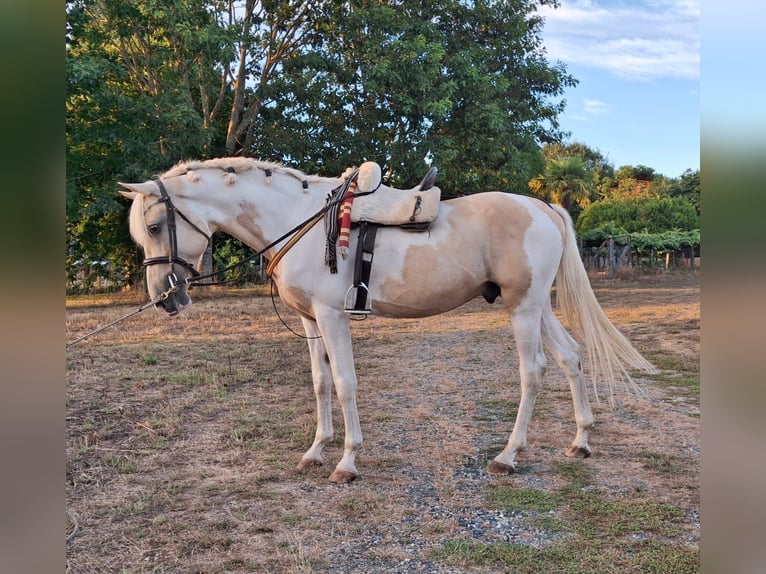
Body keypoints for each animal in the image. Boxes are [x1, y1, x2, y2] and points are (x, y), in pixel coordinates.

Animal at [120, 158, 660, 486]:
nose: (164, 299)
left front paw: (346, 462)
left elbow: (345, 383)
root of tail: (542, 206)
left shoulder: (333, 317)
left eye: (155, 226)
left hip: (523, 309)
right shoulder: (310, 321)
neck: (298, 218)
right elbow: (319, 383)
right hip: (538, 306)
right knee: (570, 357)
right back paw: (580, 441)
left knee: (535, 372)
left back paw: (508, 455)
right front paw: (316, 450)